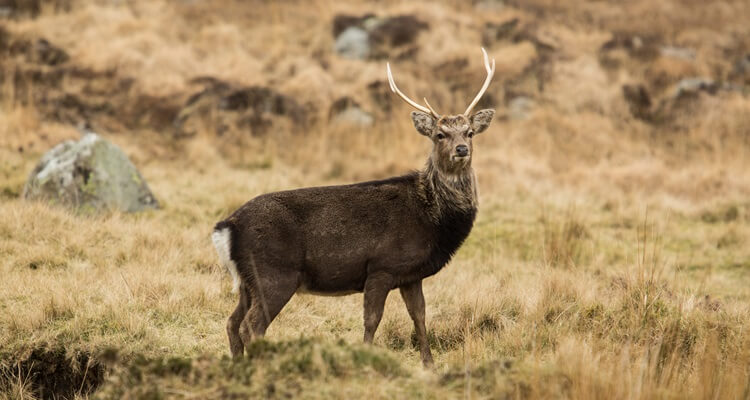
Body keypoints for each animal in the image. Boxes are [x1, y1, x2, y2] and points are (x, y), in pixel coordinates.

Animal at [212, 48, 495, 367]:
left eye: (469, 132)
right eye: (440, 135)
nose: (462, 149)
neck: (431, 217)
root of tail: (226, 227)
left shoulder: (410, 274)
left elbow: (420, 317)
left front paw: (429, 364)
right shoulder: (381, 266)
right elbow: (372, 320)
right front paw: (366, 358)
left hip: (246, 282)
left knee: (232, 323)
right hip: (273, 274)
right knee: (251, 325)